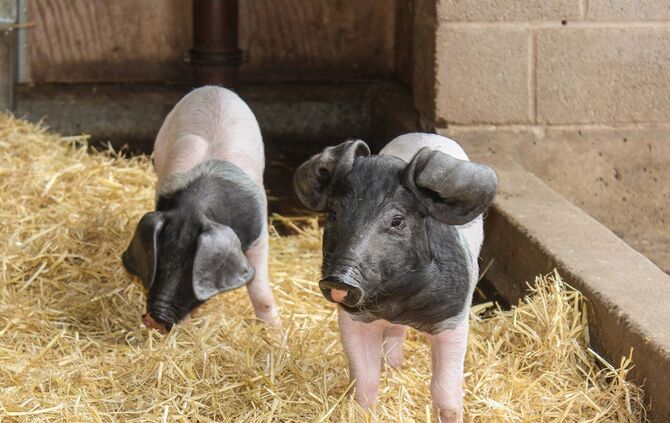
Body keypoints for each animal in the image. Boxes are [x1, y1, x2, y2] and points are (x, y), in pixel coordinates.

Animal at [122, 86, 279, 333]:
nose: (154, 318)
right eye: (159, 262)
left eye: (192, 271)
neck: (196, 208)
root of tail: (213, 88)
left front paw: (276, 333)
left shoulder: (259, 236)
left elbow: (261, 290)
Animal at [293, 133, 497, 422]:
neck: (397, 300)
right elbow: (365, 381)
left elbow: (444, 390)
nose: (339, 279)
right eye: (333, 213)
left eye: (397, 220)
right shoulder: (353, 319)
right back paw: (394, 367)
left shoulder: (453, 319)